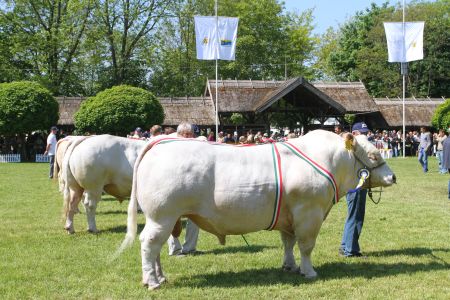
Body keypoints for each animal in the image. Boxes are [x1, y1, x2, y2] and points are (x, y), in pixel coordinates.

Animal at [121, 130, 396, 290]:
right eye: (373, 155)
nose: (393, 177)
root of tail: (159, 143)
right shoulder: (309, 213)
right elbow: (306, 246)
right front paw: (309, 271)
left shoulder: (289, 215)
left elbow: (288, 243)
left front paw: (289, 266)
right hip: (162, 216)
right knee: (149, 244)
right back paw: (152, 281)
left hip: (165, 217)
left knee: (156, 247)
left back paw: (160, 277)